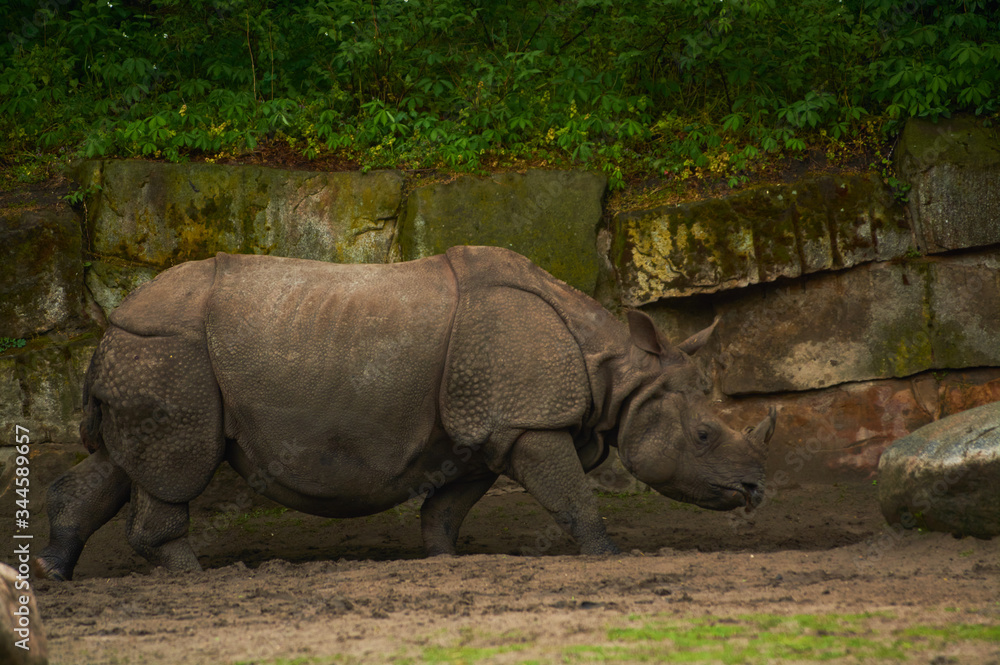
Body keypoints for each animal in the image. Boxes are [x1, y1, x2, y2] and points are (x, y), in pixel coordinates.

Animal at [36, 246, 776, 580]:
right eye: (704, 434)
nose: (756, 490)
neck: (618, 370)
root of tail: (107, 329)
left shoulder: (485, 429)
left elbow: (445, 506)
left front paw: (445, 562)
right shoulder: (528, 422)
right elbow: (572, 496)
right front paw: (608, 555)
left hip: (149, 354)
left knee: (120, 463)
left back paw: (52, 572)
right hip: (172, 353)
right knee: (174, 466)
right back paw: (198, 575)